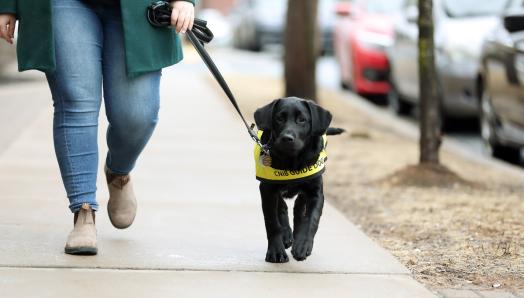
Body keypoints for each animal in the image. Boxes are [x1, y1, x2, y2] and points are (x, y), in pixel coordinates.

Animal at [254, 96, 344, 262]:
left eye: (302, 120)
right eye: (279, 118)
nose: (287, 138)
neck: (292, 161)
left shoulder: (316, 193)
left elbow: (311, 220)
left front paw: (303, 245)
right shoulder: (267, 189)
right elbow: (272, 222)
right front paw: (276, 251)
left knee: (299, 208)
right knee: (284, 207)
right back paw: (286, 235)